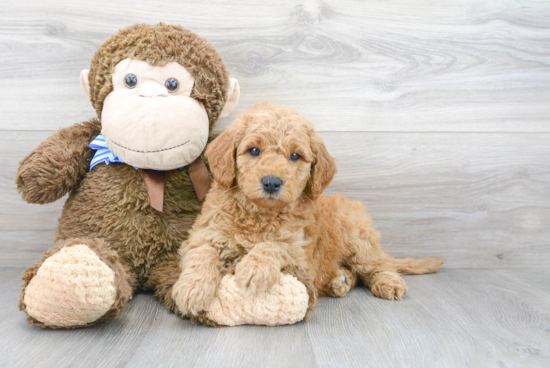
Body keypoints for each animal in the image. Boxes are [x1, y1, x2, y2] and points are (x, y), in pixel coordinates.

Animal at [175, 101, 446, 316]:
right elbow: (202, 253)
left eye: (295, 156)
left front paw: (253, 268)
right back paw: (340, 280)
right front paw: (192, 289)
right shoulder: (204, 234)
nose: (271, 182)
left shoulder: (299, 256)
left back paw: (388, 283)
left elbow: (274, 245)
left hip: (360, 242)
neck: (260, 214)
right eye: (254, 150)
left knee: (380, 265)